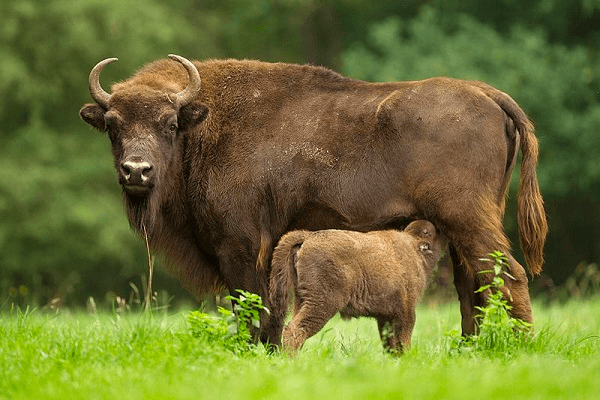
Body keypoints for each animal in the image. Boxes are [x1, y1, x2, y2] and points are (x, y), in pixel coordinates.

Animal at [270, 220, 442, 354]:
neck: (414, 247)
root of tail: (308, 236)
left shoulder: (385, 316)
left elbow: (390, 342)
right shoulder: (406, 311)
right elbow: (403, 339)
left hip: (301, 300)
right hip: (322, 303)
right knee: (295, 329)